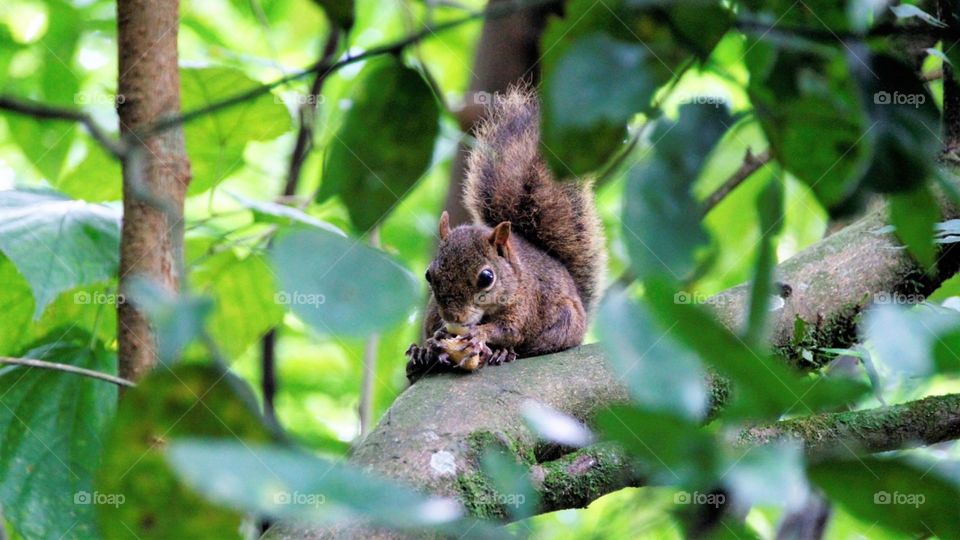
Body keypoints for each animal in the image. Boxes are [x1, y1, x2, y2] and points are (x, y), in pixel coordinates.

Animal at [406, 88, 608, 382]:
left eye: (486, 278)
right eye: (429, 275)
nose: (454, 317)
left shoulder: (525, 304)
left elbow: (509, 330)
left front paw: (479, 336)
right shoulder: (434, 311)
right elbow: (432, 329)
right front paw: (429, 346)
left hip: (563, 324)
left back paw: (503, 353)